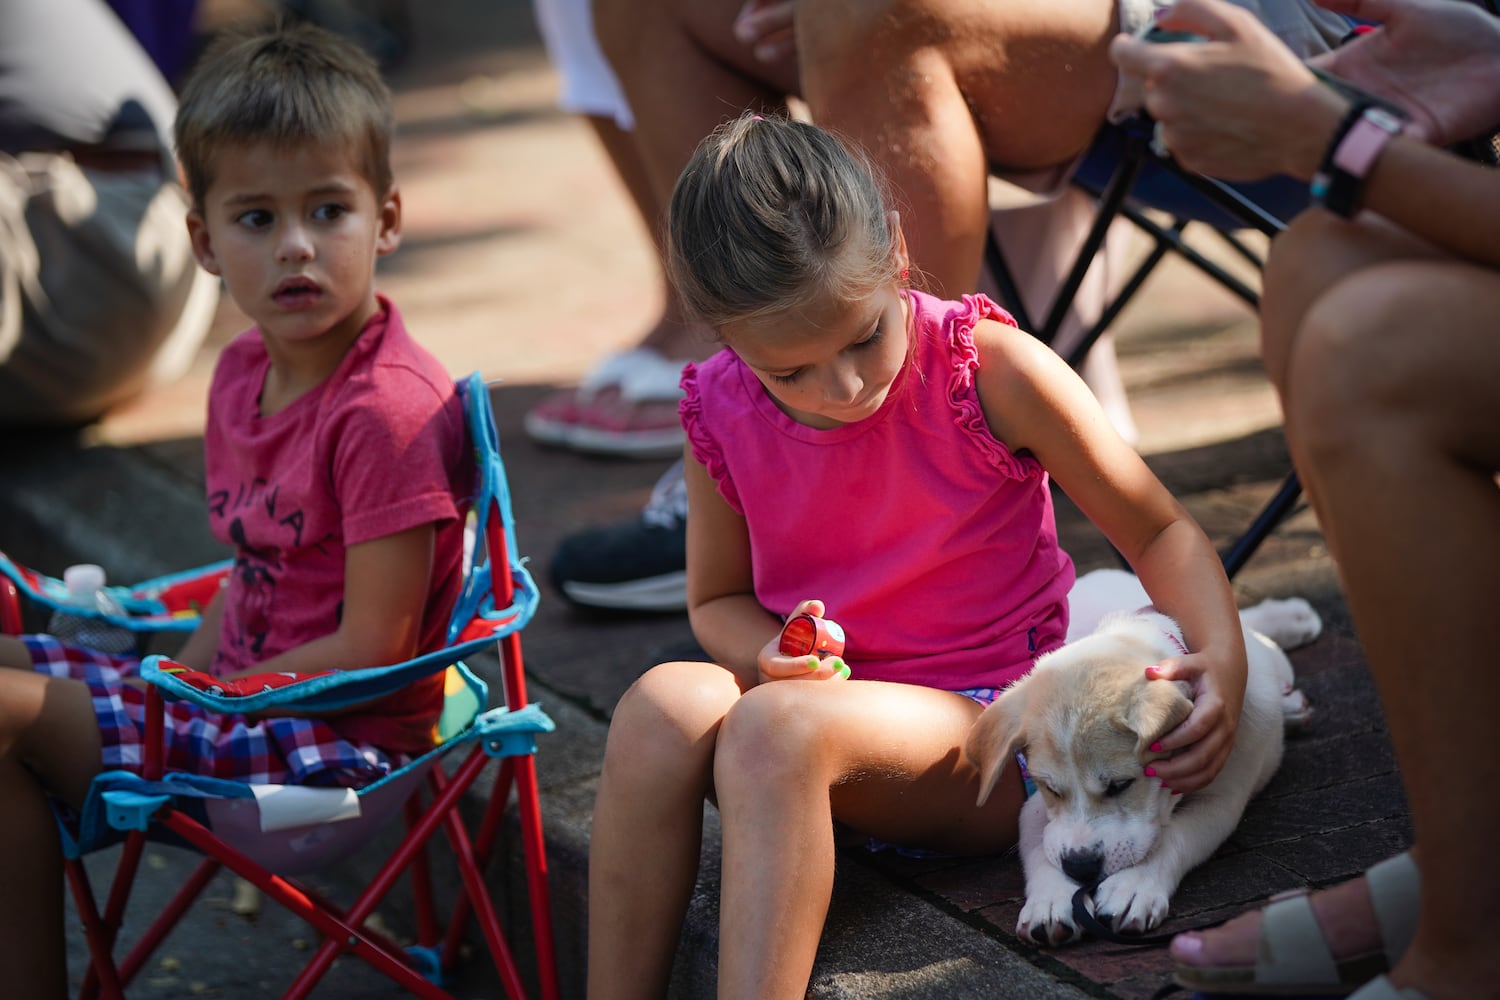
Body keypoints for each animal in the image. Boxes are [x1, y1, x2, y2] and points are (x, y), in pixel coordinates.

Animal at [966, 569, 1320, 947]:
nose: (1081, 868)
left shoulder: (1221, 800)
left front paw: (1133, 887)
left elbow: (1174, 834)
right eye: (1051, 789)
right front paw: (1051, 900)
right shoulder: (1035, 807)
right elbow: (1041, 847)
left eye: (1121, 785)